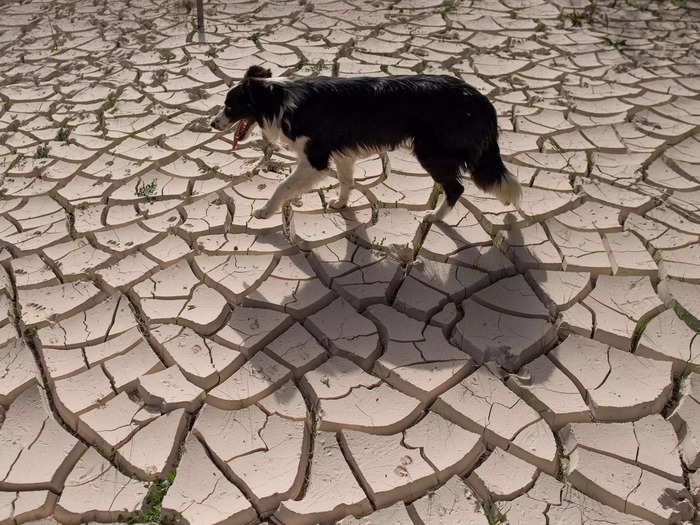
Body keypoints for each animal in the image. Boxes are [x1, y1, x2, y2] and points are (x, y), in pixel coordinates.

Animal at [211, 65, 524, 221]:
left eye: (230, 106)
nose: (212, 124)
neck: (278, 101)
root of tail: (481, 99)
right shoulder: (342, 155)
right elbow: (346, 181)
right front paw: (340, 204)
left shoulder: (315, 160)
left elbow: (283, 186)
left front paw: (265, 211)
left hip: (431, 153)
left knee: (456, 188)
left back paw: (435, 216)